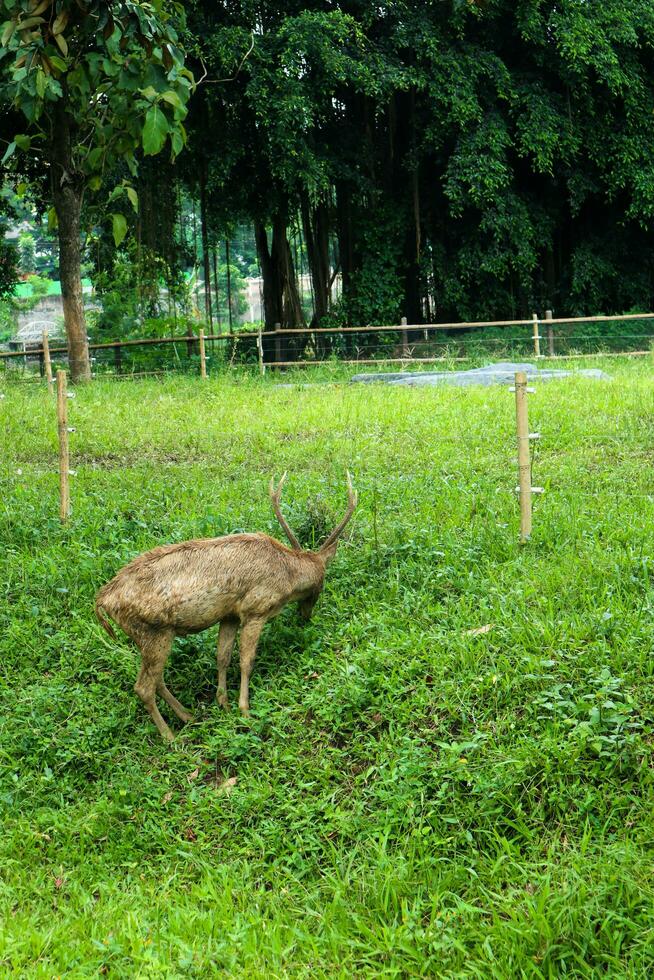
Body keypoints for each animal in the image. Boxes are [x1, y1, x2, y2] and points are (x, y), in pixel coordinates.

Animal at [96, 474, 358, 744]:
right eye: (321, 584)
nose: (306, 615)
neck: (286, 576)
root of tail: (103, 601)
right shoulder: (255, 609)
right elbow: (246, 661)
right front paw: (245, 710)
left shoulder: (229, 614)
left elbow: (222, 657)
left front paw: (223, 703)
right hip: (152, 631)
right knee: (143, 687)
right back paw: (170, 736)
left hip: (148, 638)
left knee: (156, 679)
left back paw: (187, 714)